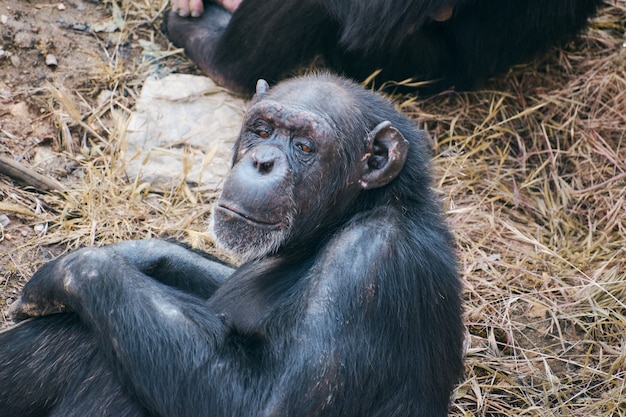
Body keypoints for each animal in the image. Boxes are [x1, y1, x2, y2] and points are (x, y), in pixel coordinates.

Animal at [0, 73, 464, 414]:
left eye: (304, 146)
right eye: (263, 129)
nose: (262, 161)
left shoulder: (368, 263)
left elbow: (267, 404)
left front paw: (69, 271)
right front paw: (133, 252)